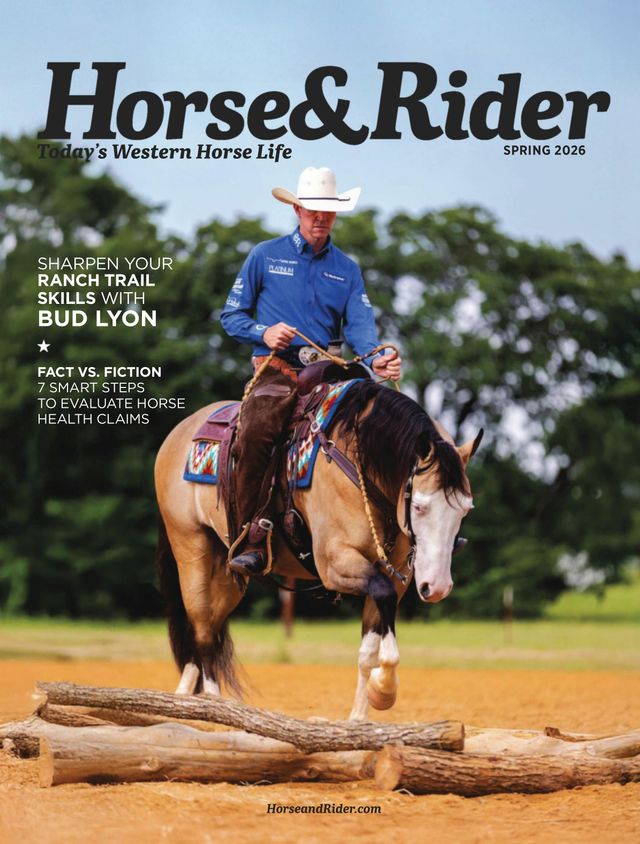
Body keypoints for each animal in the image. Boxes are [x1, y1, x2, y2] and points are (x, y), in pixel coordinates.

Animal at [154, 376, 482, 720]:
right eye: (418, 506)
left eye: (465, 509)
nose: (438, 587)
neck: (361, 462)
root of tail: (179, 433)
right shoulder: (335, 564)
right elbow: (381, 596)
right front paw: (384, 690)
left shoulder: (396, 574)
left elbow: (369, 645)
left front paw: (360, 717)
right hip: (192, 551)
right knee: (203, 631)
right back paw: (215, 708)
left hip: (226, 571)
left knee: (208, 630)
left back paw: (186, 698)